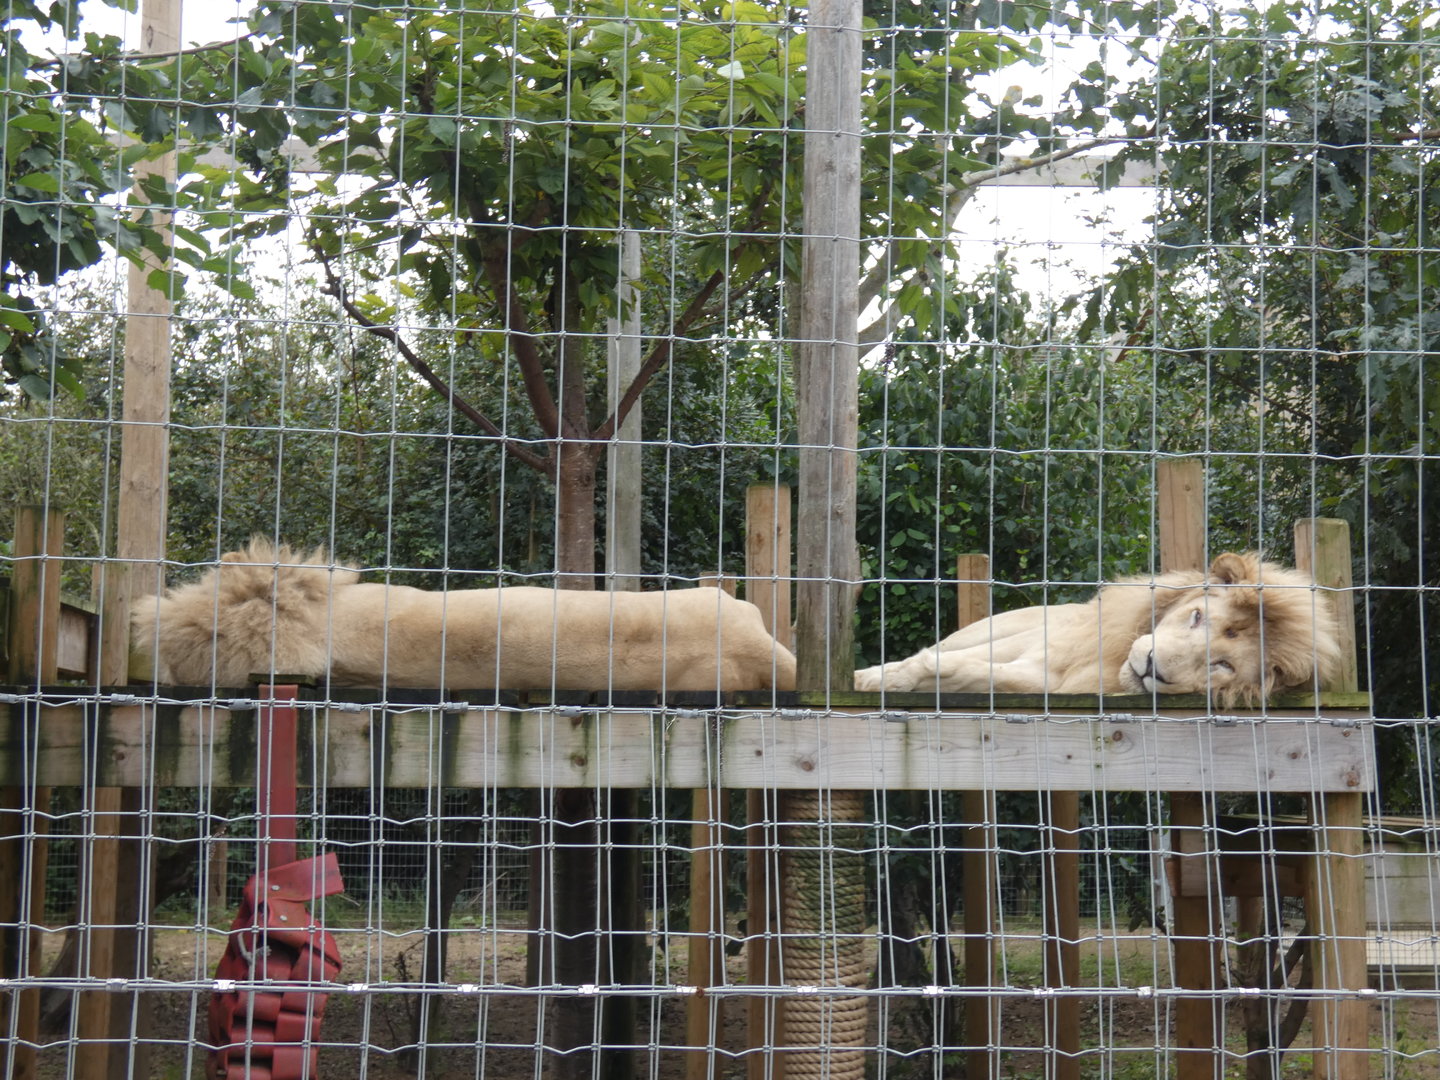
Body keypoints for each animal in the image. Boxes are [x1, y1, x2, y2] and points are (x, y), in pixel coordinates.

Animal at [854, 553, 1343, 706]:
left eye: (1222, 665)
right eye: (1197, 617)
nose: (1152, 668)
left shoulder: (1043, 679)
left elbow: (956, 669)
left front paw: (886, 680)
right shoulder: (1035, 648)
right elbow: (934, 660)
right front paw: (872, 678)